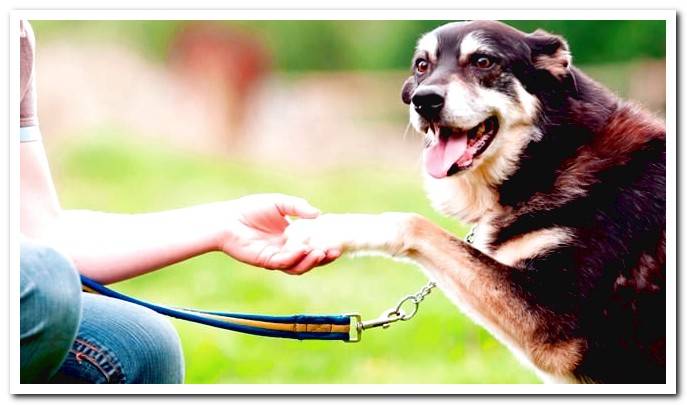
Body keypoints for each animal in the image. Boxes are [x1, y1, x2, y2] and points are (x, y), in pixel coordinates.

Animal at [284, 21, 668, 382]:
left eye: (484, 61)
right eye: (422, 65)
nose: (424, 100)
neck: (551, 156)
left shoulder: (552, 322)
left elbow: (413, 222)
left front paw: (324, 229)